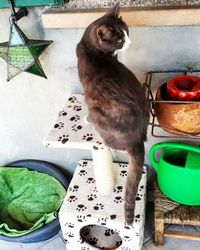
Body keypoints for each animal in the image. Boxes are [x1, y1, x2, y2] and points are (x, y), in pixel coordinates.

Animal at [76, 3, 149, 224]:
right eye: (119, 39)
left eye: (126, 32)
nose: (130, 42)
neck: (90, 48)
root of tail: (136, 139)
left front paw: (85, 117)